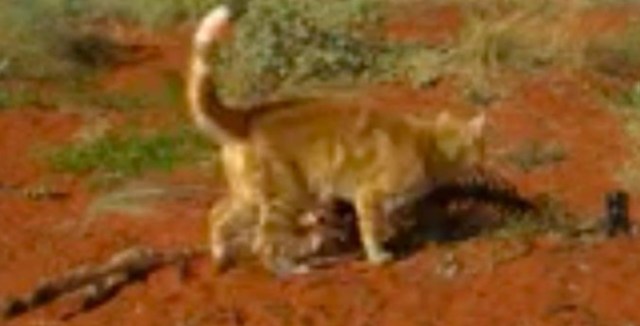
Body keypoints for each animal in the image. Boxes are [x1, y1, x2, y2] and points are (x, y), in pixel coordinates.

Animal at [189, 5, 484, 274]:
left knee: (217, 214)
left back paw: (221, 257)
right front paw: (379, 256)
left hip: (251, 198)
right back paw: (290, 269)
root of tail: (247, 116)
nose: (482, 163)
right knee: (262, 243)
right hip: (284, 199)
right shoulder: (369, 194)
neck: (427, 144)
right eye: (480, 148)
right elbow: (371, 228)